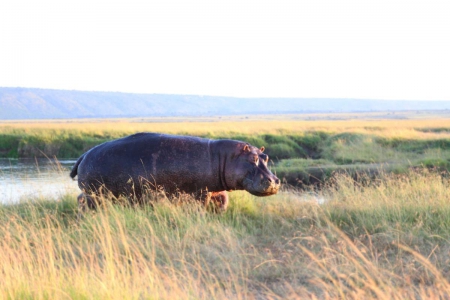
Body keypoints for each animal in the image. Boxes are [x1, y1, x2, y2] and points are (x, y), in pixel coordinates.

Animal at [70, 132, 280, 213]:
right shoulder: (200, 191)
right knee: (83, 202)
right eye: (252, 159)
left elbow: (223, 201)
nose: (275, 181)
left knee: (80, 199)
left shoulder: (215, 189)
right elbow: (201, 207)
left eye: (266, 156)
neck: (225, 157)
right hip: (96, 193)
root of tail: (84, 154)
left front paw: (219, 213)